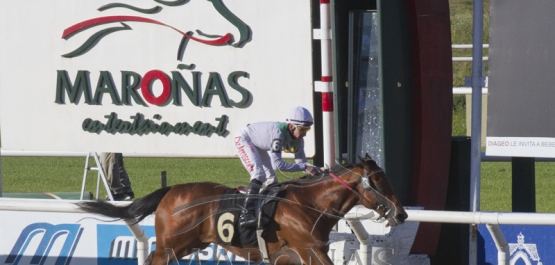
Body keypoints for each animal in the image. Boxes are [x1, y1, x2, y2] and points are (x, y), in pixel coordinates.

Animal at [77, 154, 408, 262]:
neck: (311, 204)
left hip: (188, 244)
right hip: (172, 244)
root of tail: (171, 190)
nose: (402, 213)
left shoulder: (288, 256)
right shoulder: (309, 250)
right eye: (380, 182)